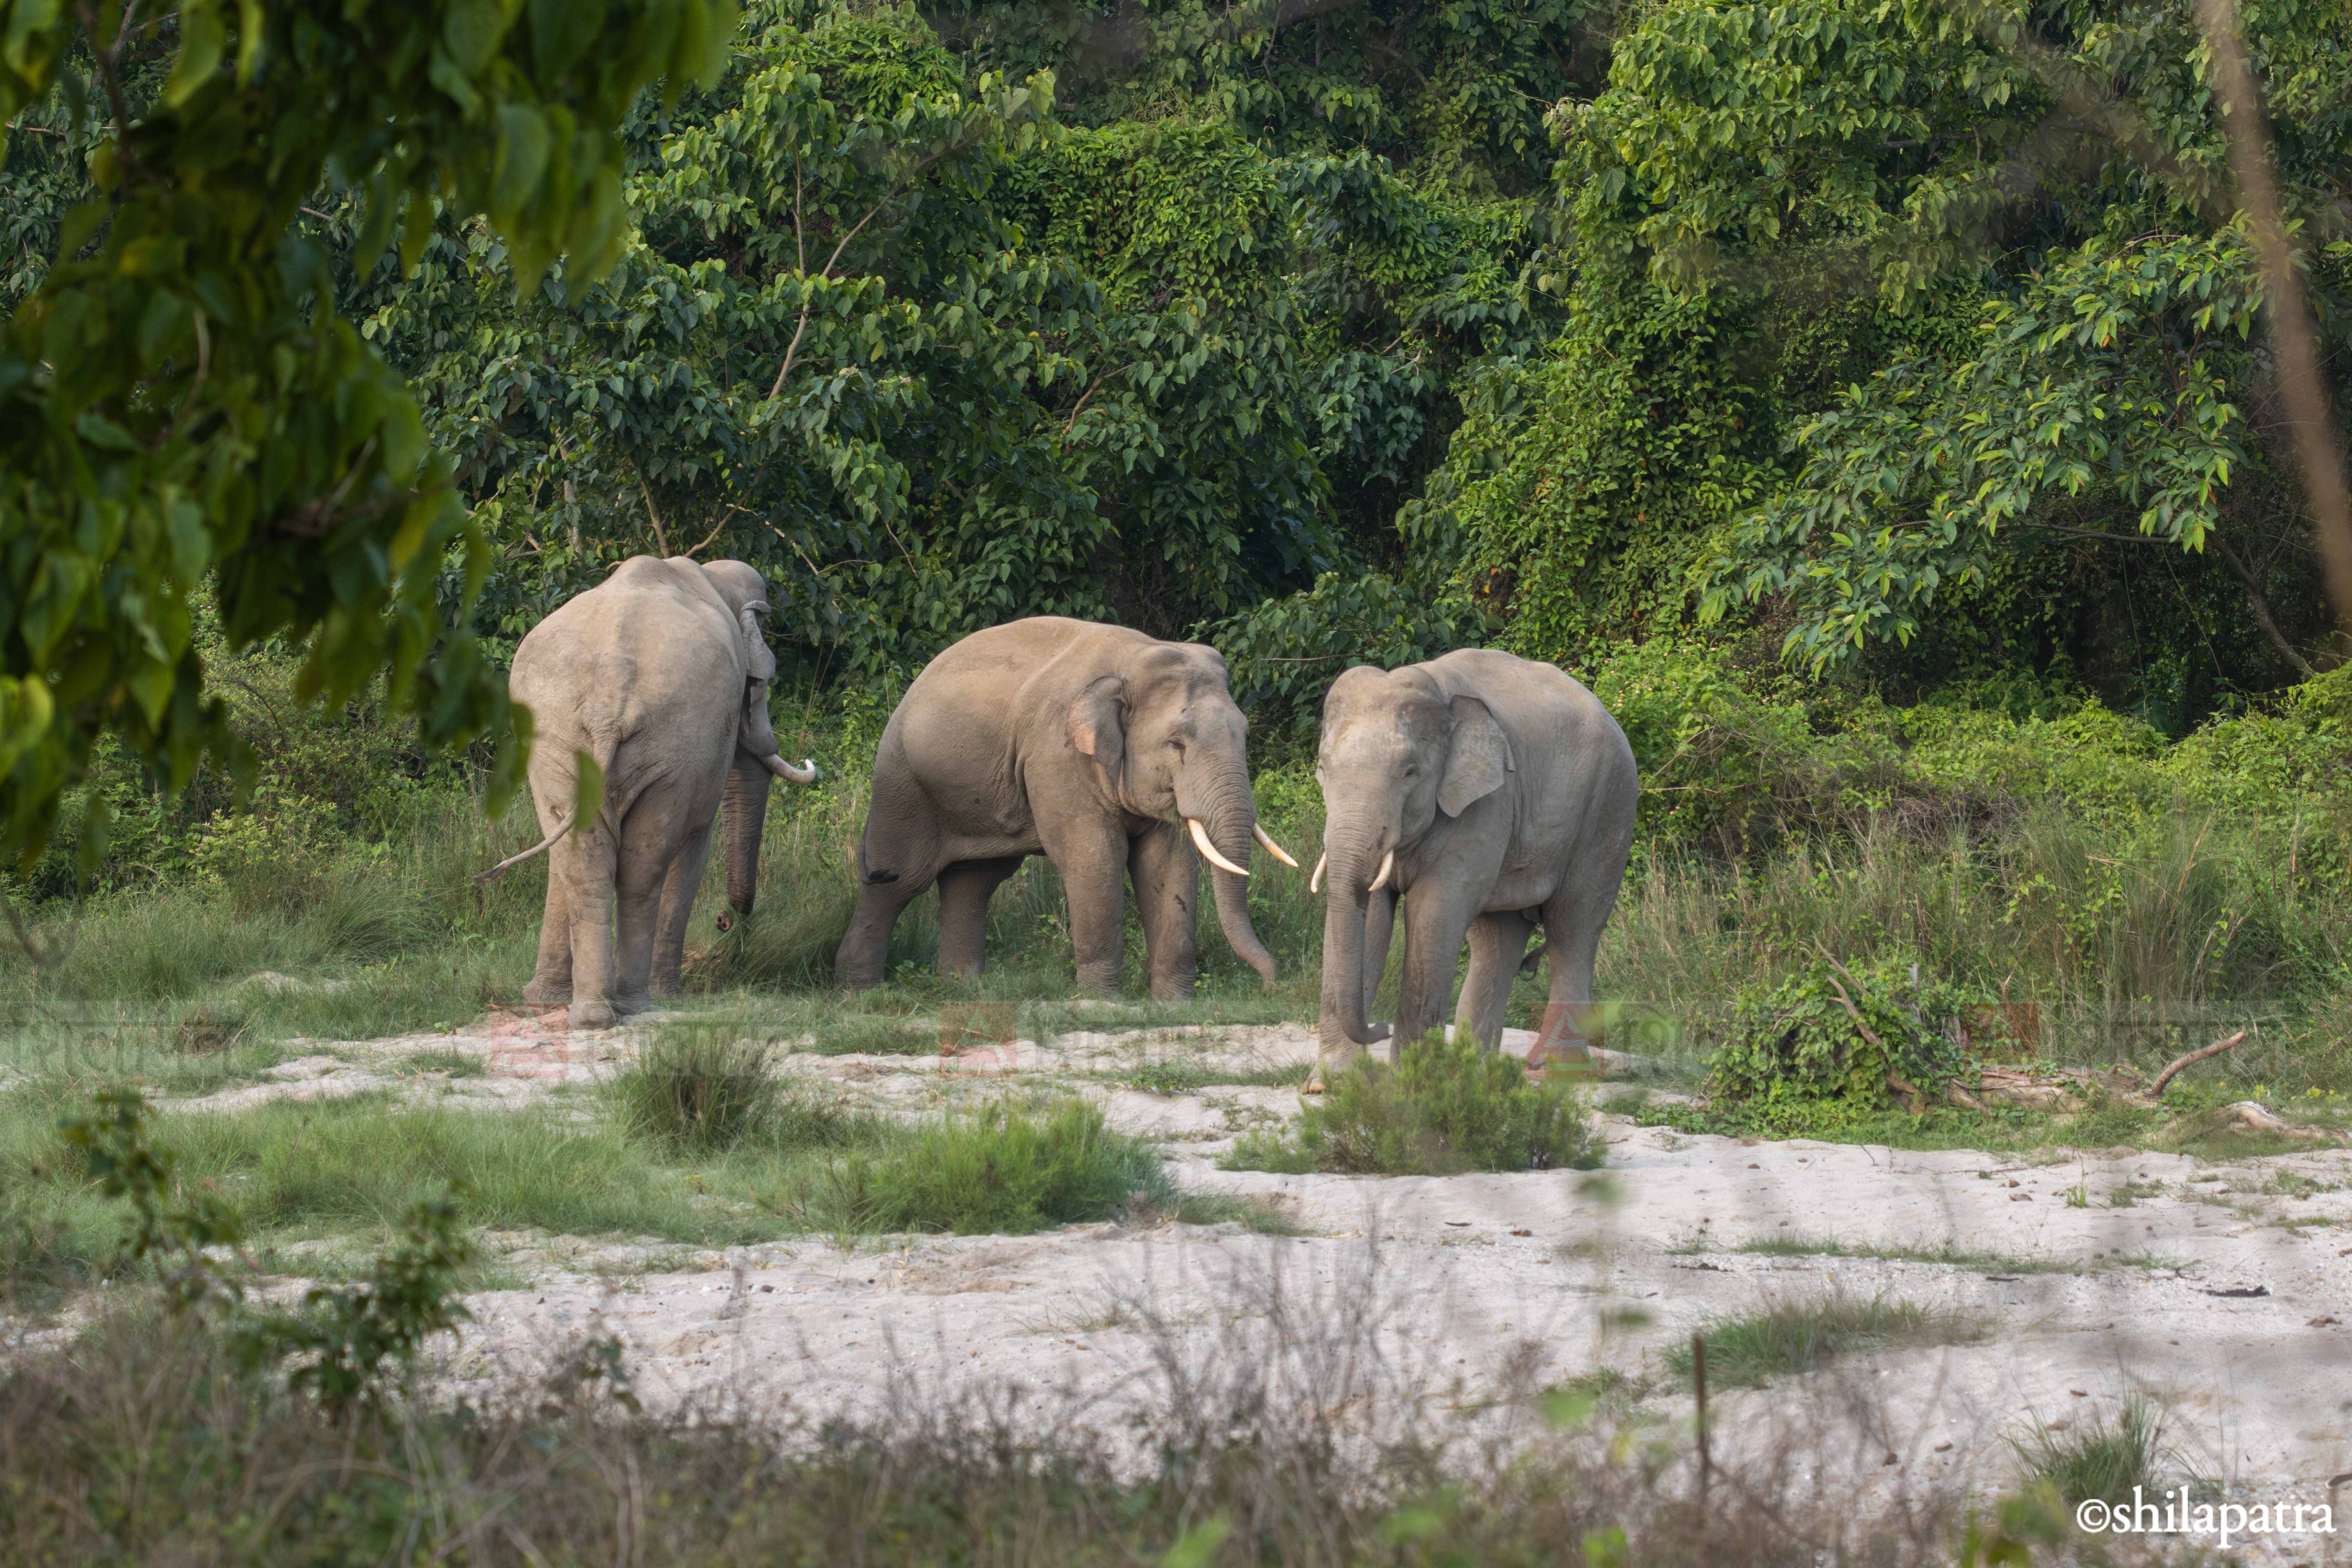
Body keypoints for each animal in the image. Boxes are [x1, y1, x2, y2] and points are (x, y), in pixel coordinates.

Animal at [478, 555, 818, 1029]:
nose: (724, 921)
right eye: (759, 685)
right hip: (668, 748)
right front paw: (670, 993)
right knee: (645, 862)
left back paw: (592, 1014)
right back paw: (638, 1003)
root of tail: (608, 705)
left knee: (582, 858)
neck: (711, 576)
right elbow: (695, 841)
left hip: (557, 742)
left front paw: (541, 1000)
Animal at [833, 616, 1299, 998]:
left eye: (1245, 734)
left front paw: (1174, 1003)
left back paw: (963, 988)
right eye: (1177, 744)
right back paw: (860, 993)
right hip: (904, 782)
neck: (1133, 659)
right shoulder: (1058, 756)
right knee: (898, 878)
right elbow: (1095, 857)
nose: (1272, 984)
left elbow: (1168, 864)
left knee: (974, 881)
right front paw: (1103, 1001)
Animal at [1311, 648, 1638, 1073]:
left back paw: (1552, 1068)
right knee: (1498, 938)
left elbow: (1436, 911)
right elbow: (1371, 913)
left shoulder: (1484, 803)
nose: (1378, 1026)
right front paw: (1332, 1080)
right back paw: (1476, 1070)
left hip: (1609, 808)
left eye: (1410, 772)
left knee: (1573, 925)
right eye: (1322, 768)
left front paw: (1409, 1079)